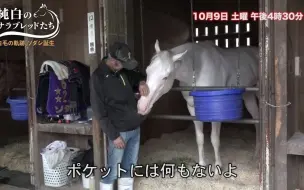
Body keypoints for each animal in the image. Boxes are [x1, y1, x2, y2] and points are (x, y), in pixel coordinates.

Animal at [137, 39, 258, 171]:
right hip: (248, 96)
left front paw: (218, 166)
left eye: (165, 77)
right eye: (147, 71)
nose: (141, 107)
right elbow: (199, 138)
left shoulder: (215, 110)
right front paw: (202, 164)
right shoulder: (192, 108)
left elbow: (214, 139)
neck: (197, 71)